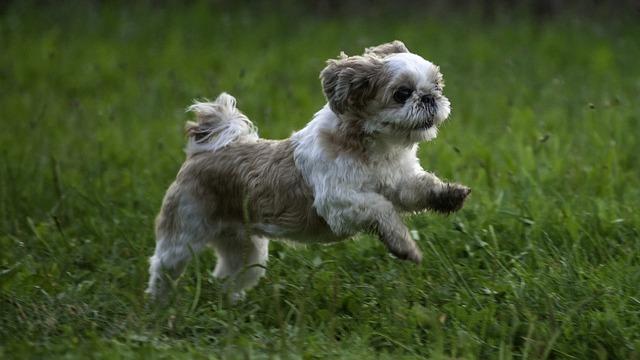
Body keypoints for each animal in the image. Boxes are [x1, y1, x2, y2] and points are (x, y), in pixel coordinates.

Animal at [148, 40, 472, 302]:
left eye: (437, 86)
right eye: (402, 93)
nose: (429, 97)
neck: (374, 148)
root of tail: (202, 152)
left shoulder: (398, 180)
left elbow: (419, 189)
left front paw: (449, 195)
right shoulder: (339, 202)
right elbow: (383, 210)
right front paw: (404, 246)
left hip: (246, 248)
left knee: (230, 275)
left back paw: (232, 305)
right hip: (184, 233)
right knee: (163, 266)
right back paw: (159, 305)